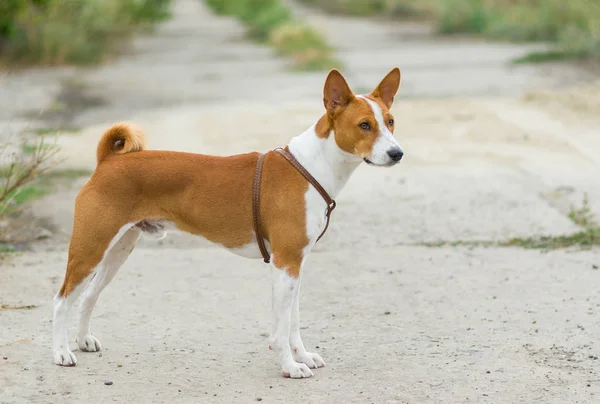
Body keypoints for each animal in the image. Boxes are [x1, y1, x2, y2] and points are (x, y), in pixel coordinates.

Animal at [52, 67, 404, 378]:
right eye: (364, 125)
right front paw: (290, 367)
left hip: (116, 252)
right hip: (90, 250)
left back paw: (82, 341)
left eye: (390, 122)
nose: (397, 153)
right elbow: (280, 328)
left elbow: (293, 322)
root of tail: (108, 161)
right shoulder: (286, 262)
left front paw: (302, 356)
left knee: (88, 297)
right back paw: (62, 353)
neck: (312, 166)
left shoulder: (295, 263)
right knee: (61, 301)